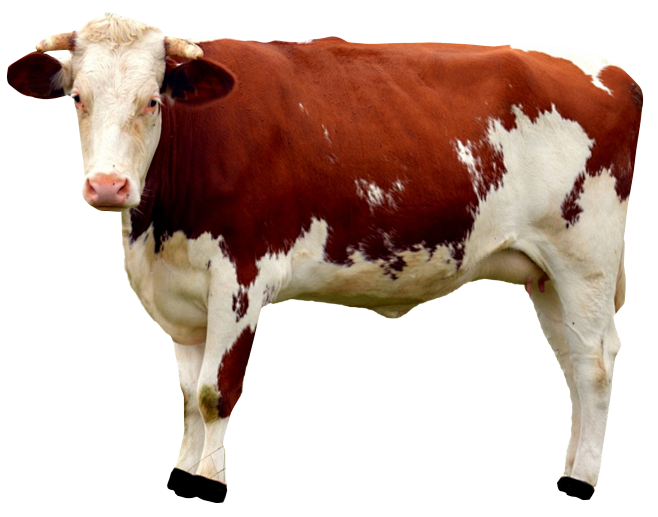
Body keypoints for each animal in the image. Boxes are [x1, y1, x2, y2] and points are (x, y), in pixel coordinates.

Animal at [7, 13, 642, 503]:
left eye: (151, 100)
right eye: (79, 99)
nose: (108, 186)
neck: (159, 229)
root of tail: (608, 69)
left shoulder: (241, 276)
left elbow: (216, 393)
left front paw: (209, 481)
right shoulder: (179, 293)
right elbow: (188, 396)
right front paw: (184, 472)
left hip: (584, 258)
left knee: (594, 363)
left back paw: (581, 482)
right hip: (546, 274)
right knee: (572, 364)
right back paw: (571, 467)